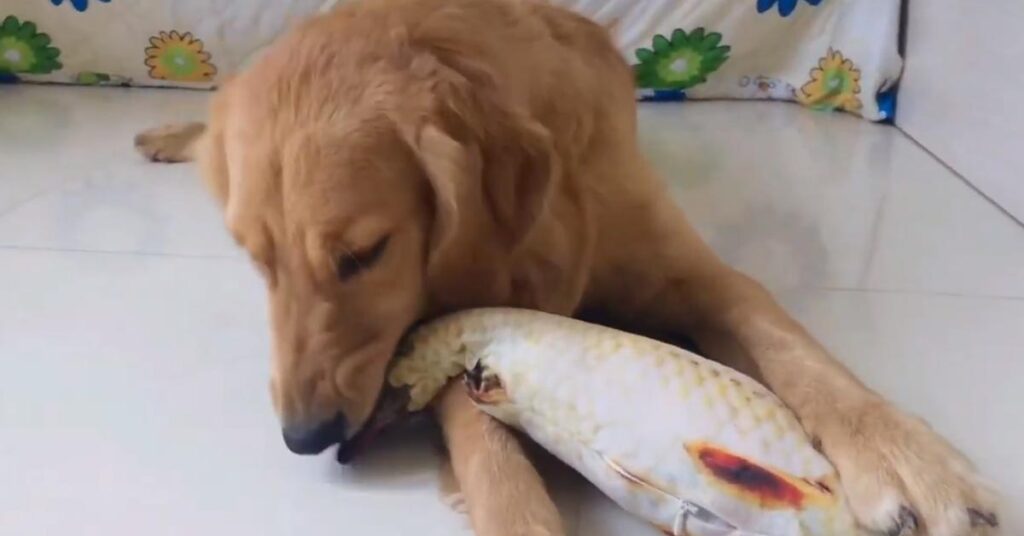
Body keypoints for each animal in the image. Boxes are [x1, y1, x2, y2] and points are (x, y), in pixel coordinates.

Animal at [132, 2, 995, 532]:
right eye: (257, 265)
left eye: (364, 255)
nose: (303, 438)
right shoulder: (449, 322)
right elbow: (484, 444)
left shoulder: (695, 274)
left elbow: (796, 350)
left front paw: (905, 457)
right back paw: (170, 133)